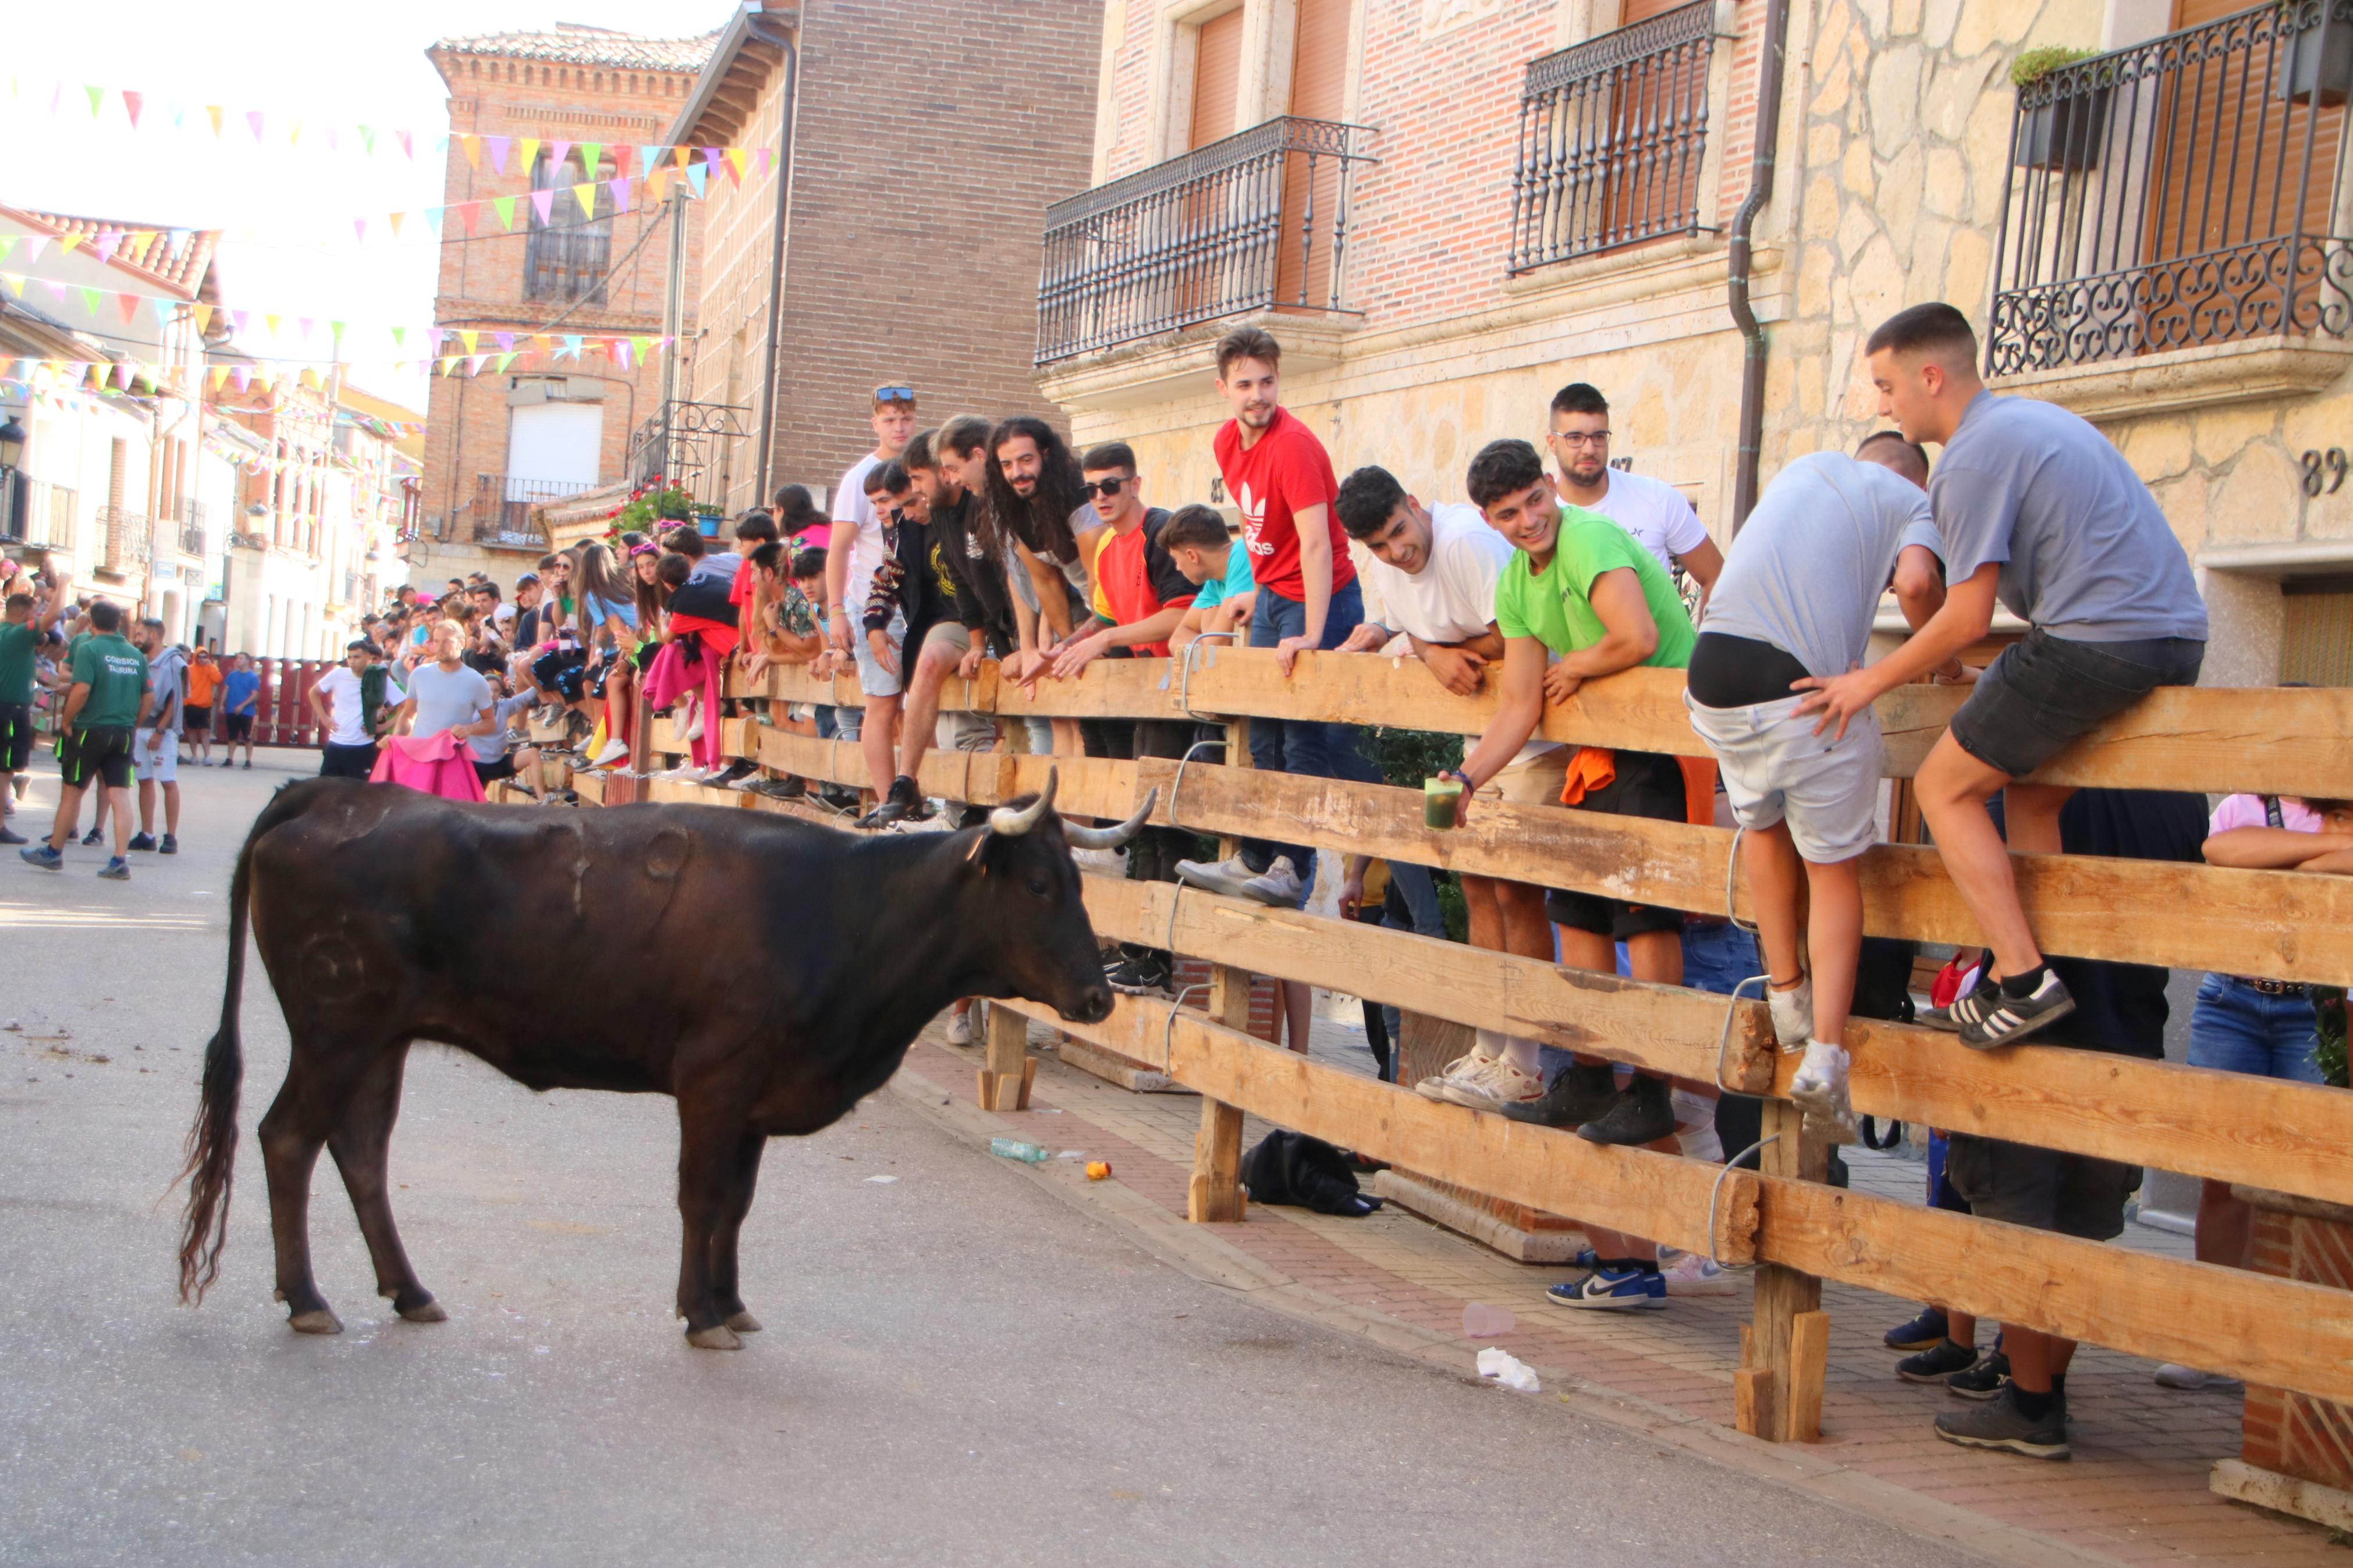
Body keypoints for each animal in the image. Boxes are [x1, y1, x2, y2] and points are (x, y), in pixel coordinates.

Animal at [176, 771, 1148, 1354]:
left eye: (1079, 881)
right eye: (1038, 884)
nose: (1098, 999)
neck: (846, 909)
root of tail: (329, 792)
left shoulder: (753, 1097)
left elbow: (737, 1204)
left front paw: (729, 1299)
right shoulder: (714, 1078)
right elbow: (702, 1196)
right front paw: (702, 1312)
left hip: (380, 1039)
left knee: (361, 1151)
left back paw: (408, 1290)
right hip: (335, 1029)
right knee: (289, 1138)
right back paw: (306, 1296)